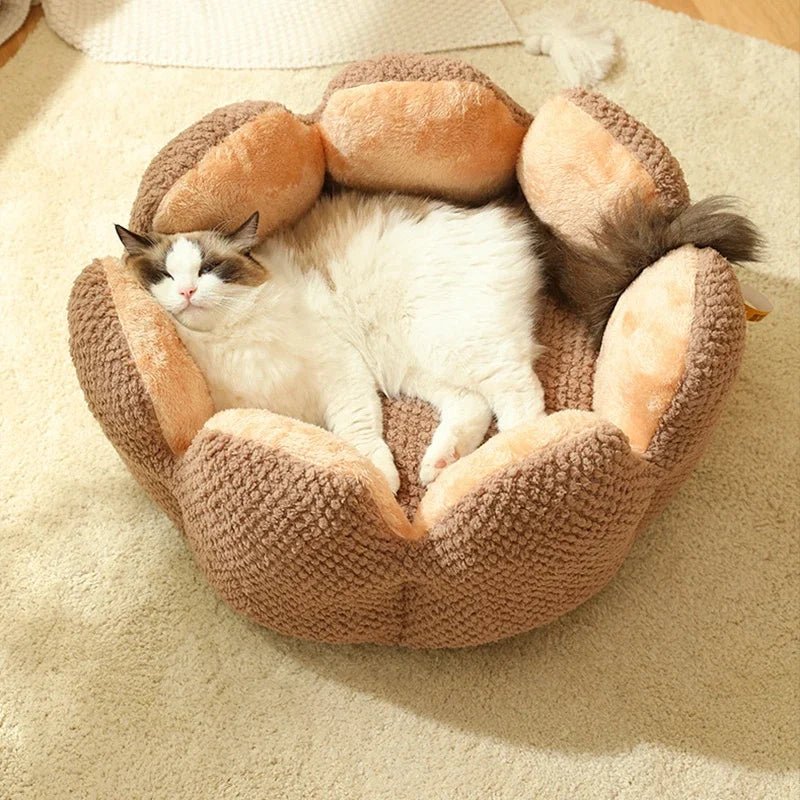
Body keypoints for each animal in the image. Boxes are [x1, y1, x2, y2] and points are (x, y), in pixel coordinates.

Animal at [114, 190, 764, 494]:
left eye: (212, 270)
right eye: (165, 275)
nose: (188, 292)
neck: (235, 341)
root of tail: (513, 222)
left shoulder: (340, 370)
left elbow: (361, 436)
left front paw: (380, 476)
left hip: (450, 342)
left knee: (519, 396)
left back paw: (512, 458)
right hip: (416, 363)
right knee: (472, 406)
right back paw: (444, 465)